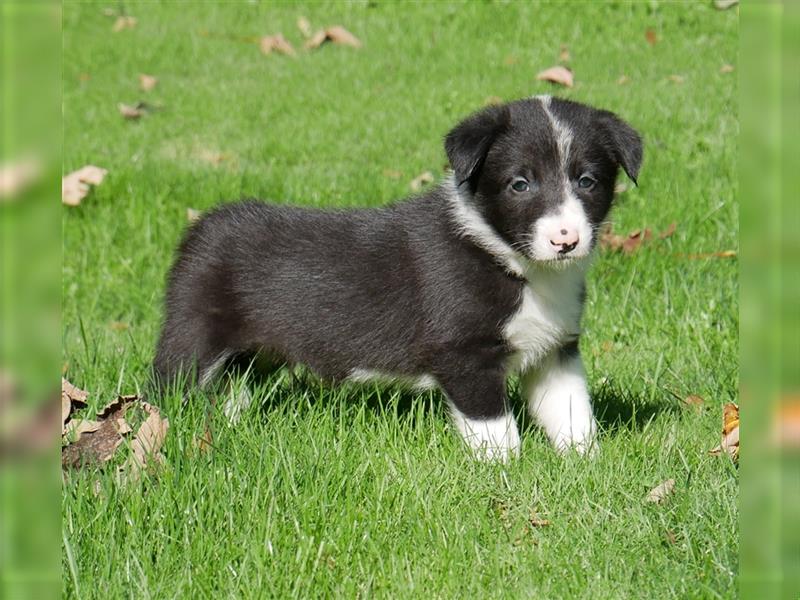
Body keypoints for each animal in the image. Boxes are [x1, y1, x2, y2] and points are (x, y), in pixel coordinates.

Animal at [155, 95, 644, 460]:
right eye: (520, 184)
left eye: (587, 181)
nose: (566, 240)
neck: (514, 264)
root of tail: (205, 225)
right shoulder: (464, 355)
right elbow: (496, 431)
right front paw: (504, 473)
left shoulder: (555, 351)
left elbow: (573, 412)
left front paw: (586, 464)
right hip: (193, 336)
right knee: (168, 386)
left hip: (253, 353)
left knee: (235, 392)